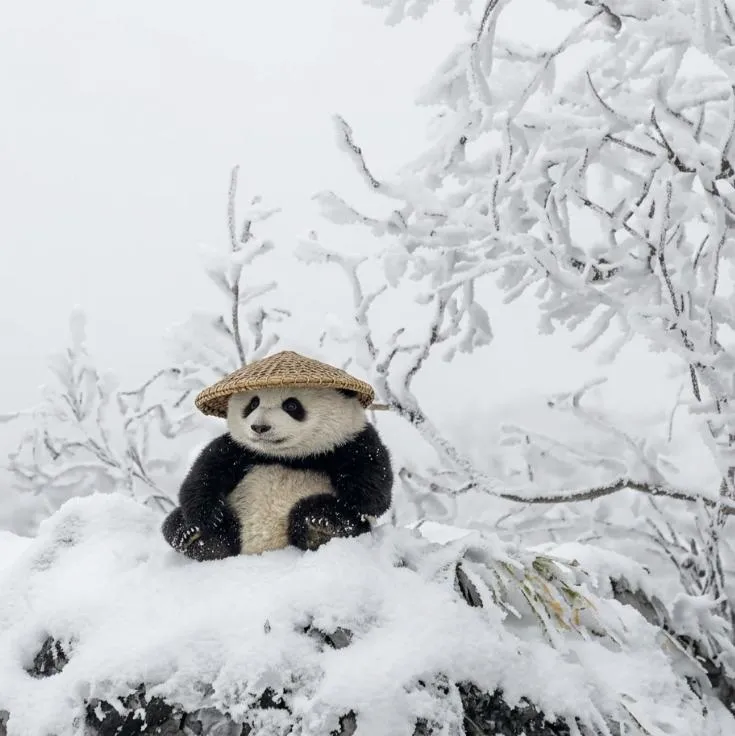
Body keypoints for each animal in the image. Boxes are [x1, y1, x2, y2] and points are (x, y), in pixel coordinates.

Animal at [161, 385, 393, 560]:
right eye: (253, 403)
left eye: (291, 405)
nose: (259, 427)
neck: (288, 456)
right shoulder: (241, 450)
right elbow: (203, 474)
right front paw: (208, 516)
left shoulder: (351, 443)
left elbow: (373, 494)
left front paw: (345, 506)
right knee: (178, 523)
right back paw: (196, 537)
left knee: (331, 519)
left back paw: (322, 525)